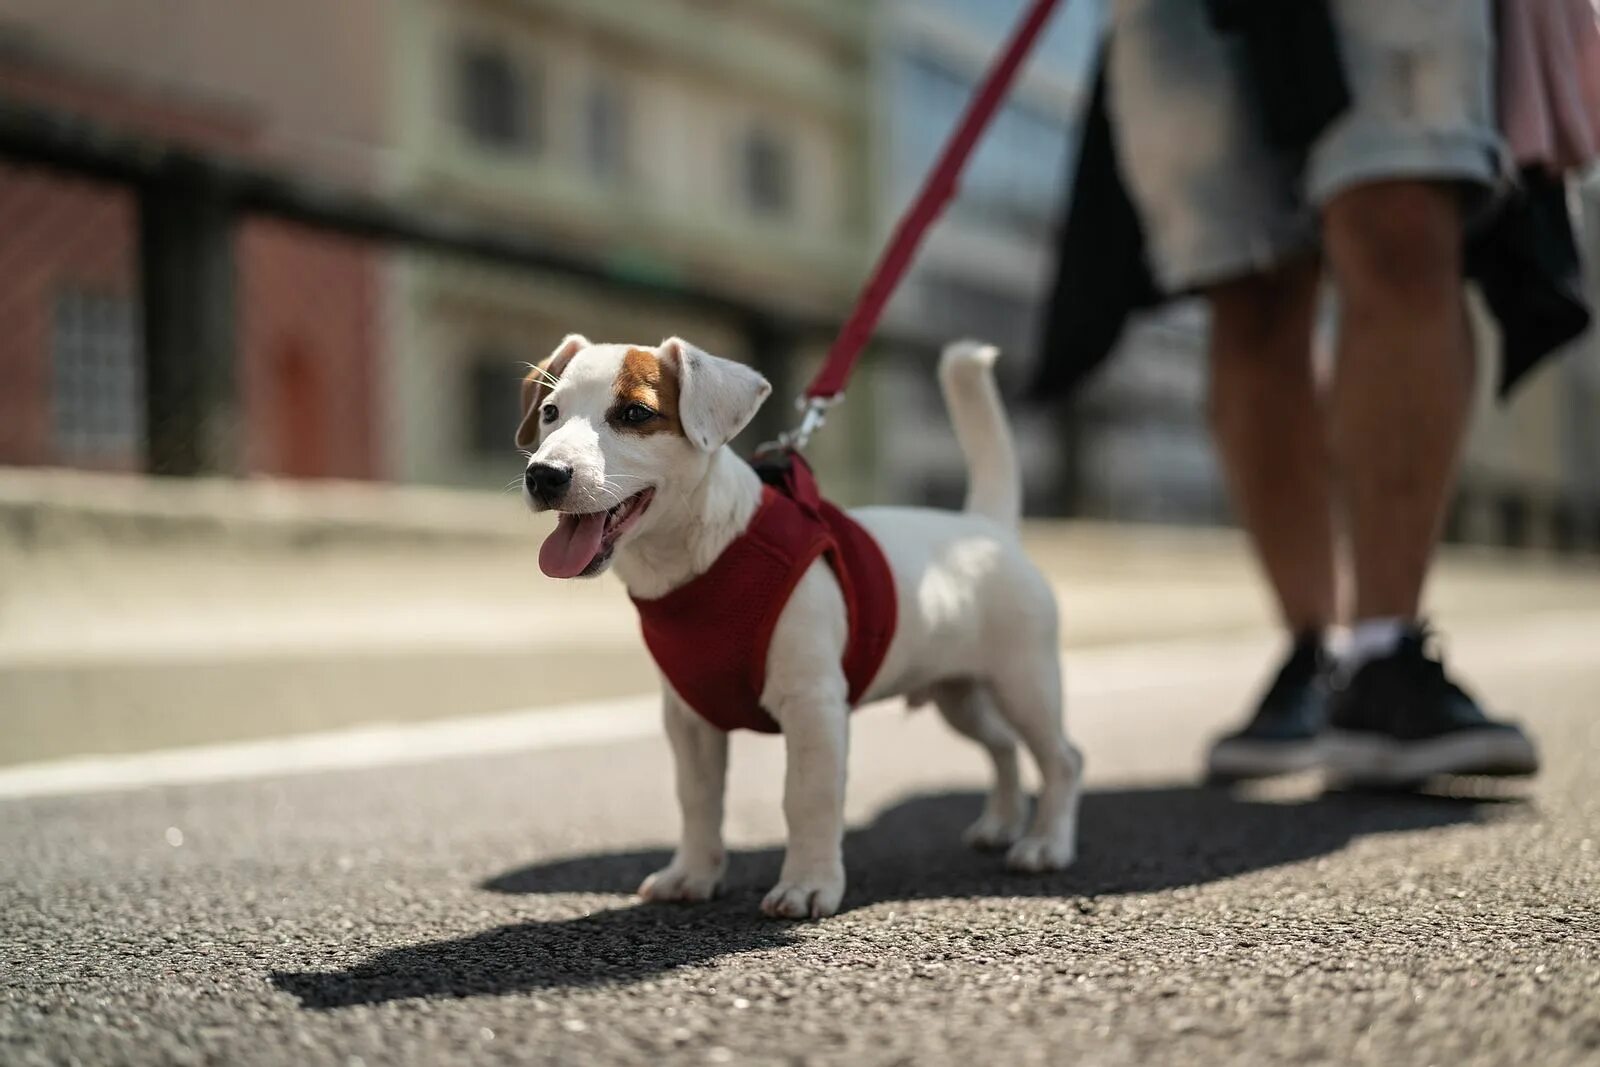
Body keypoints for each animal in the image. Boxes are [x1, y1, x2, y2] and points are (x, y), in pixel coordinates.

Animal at [518, 334, 1081, 921]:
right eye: (549, 413)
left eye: (634, 414)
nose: (544, 475)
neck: (707, 557)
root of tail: (987, 528)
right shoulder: (689, 719)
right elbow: (698, 799)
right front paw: (693, 873)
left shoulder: (814, 708)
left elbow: (807, 798)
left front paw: (808, 883)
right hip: (960, 696)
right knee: (1003, 747)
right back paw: (1001, 824)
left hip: (1024, 685)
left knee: (1062, 759)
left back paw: (1045, 844)